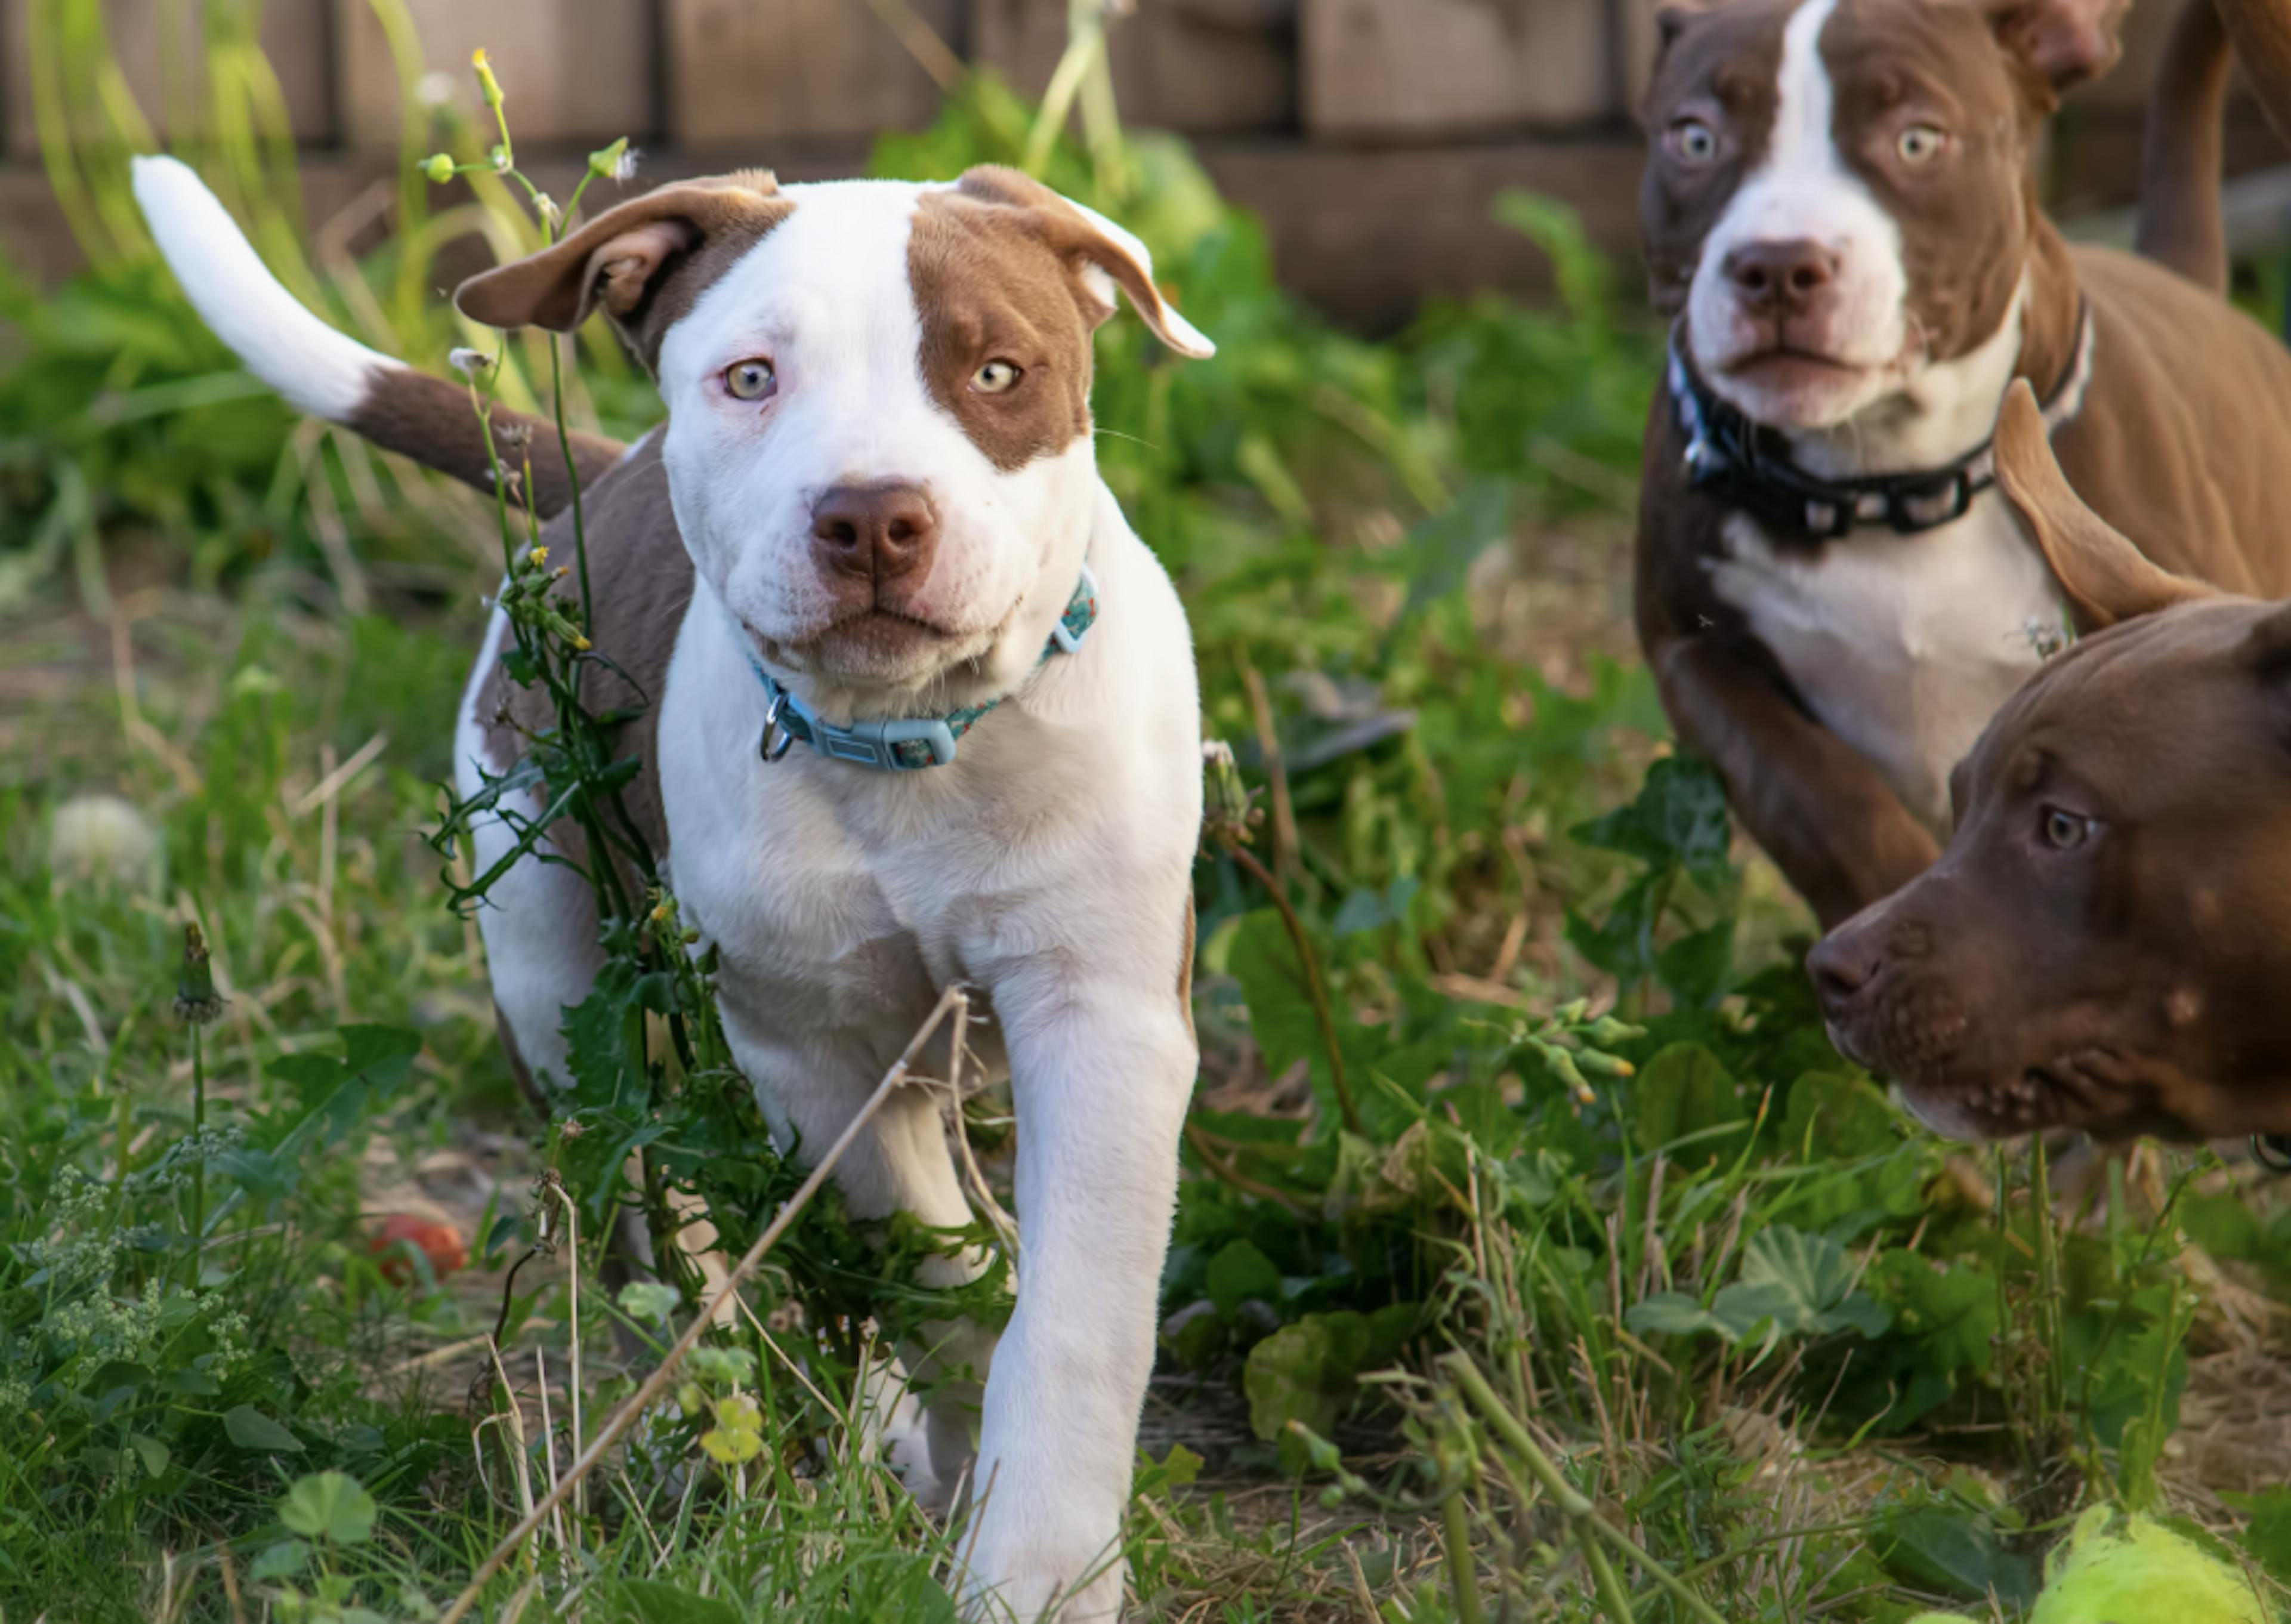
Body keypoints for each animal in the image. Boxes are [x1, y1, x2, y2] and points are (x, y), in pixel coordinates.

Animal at [129, 156, 1218, 1622]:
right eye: (751, 378)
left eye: (999, 372)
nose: (873, 516)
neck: (911, 748)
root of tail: (605, 478)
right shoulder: (810, 1042)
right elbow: (927, 1259)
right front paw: (959, 1447)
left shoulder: (1103, 1016)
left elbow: (1074, 1318)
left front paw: (1035, 1565)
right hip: (559, 992)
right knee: (659, 1238)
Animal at [1640, 0, 2291, 925]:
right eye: (1694, 138)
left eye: (1919, 140)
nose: (1777, 265)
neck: (1891, 485)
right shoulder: (1688, 648)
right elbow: (1813, 795)